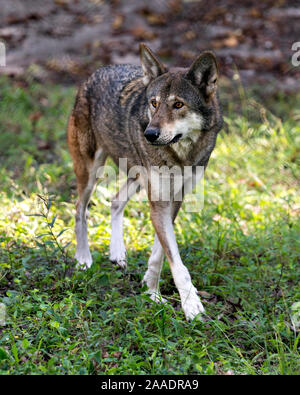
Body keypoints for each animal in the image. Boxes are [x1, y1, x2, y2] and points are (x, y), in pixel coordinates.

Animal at [67, 44, 223, 322]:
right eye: (154, 103)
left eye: (178, 104)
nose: (149, 133)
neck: (181, 155)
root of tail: (96, 72)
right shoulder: (159, 201)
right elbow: (177, 262)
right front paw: (191, 306)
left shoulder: (175, 200)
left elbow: (160, 254)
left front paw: (151, 290)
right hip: (91, 172)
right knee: (79, 210)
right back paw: (83, 259)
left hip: (136, 178)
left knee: (115, 201)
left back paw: (117, 253)